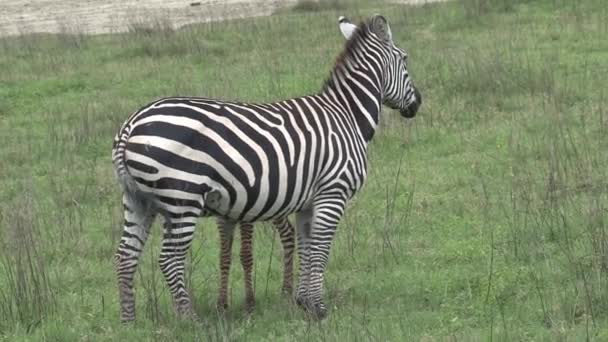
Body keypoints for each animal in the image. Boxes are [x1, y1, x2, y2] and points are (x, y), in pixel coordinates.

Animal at [111, 13, 420, 322]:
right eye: (405, 58)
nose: (417, 102)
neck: (347, 116)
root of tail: (131, 124)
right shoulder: (333, 193)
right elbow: (320, 249)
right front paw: (320, 309)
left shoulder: (308, 202)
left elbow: (306, 248)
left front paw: (304, 303)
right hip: (183, 199)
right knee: (169, 259)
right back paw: (190, 320)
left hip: (137, 199)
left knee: (126, 255)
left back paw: (129, 321)